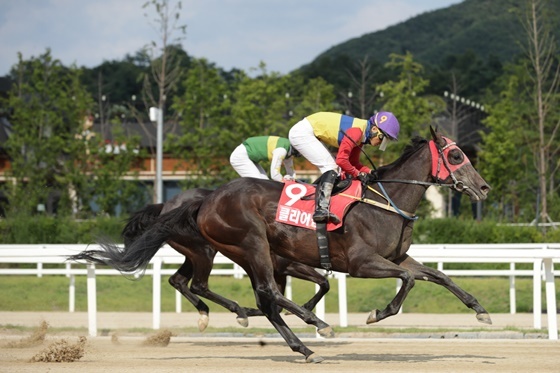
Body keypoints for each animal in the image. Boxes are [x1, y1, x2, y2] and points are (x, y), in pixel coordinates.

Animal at [71, 129, 490, 364]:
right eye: (456, 155)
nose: (484, 188)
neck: (383, 201)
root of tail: (203, 201)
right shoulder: (361, 263)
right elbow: (408, 281)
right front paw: (378, 313)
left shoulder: (395, 256)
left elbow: (437, 276)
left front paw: (481, 311)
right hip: (247, 243)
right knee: (262, 292)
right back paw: (310, 330)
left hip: (230, 252)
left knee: (244, 293)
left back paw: (297, 340)